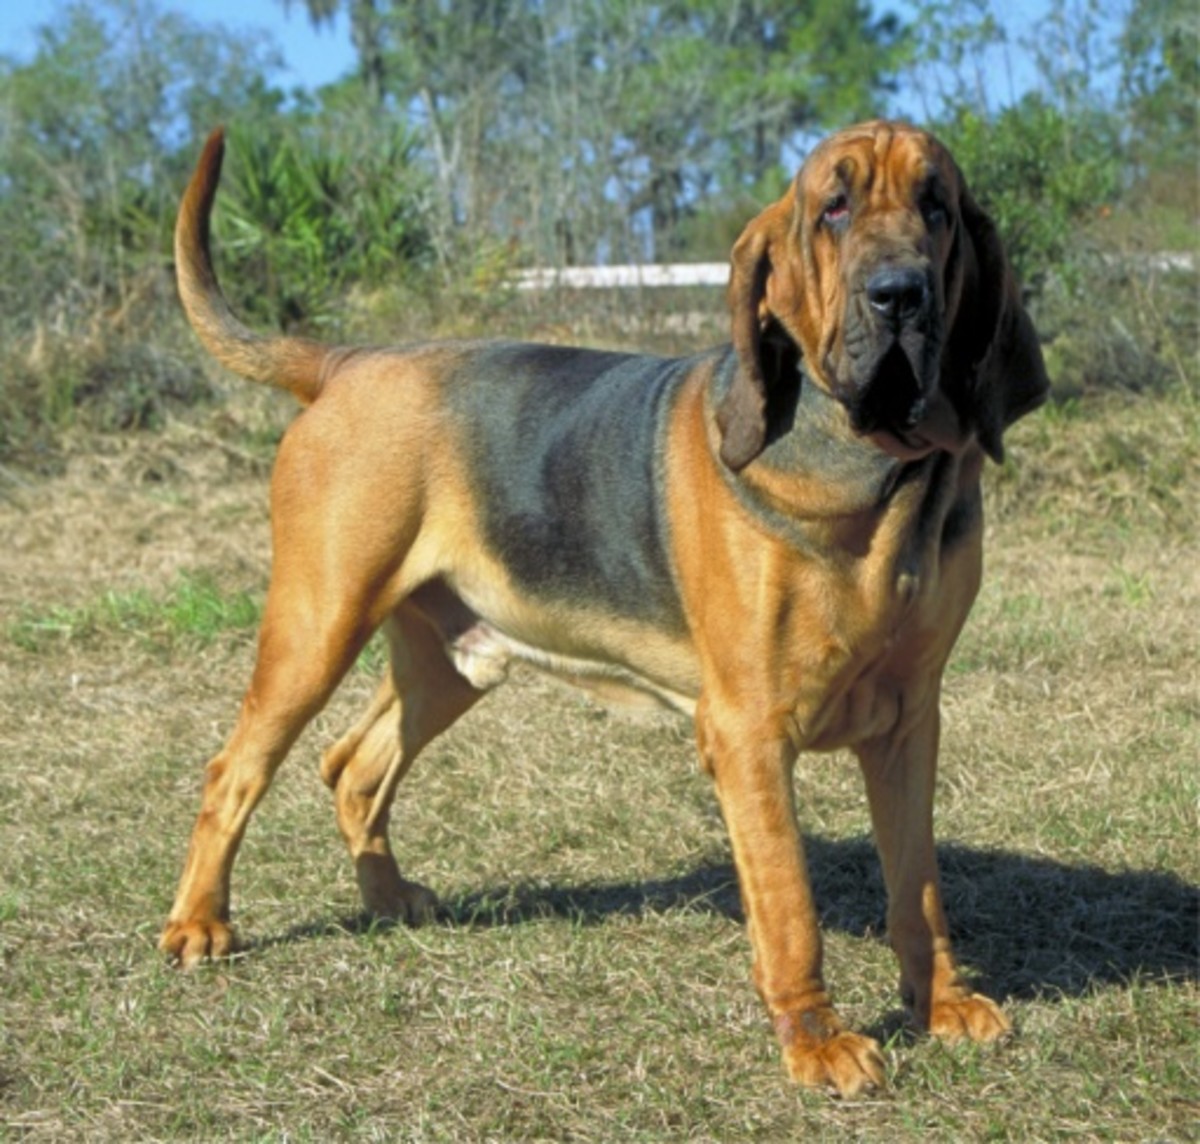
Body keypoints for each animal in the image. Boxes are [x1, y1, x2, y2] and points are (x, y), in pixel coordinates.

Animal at [164, 118, 1046, 1099]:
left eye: (937, 208)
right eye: (835, 206)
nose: (900, 295)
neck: (872, 469)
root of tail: (350, 360)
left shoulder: (909, 721)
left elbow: (916, 887)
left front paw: (941, 1004)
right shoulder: (748, 735)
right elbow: (790, 904)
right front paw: (816, 1042)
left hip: (452, 662)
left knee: (354, 766)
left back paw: (391, 900)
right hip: (315, 628)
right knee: (234, 770)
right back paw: (199, 924)